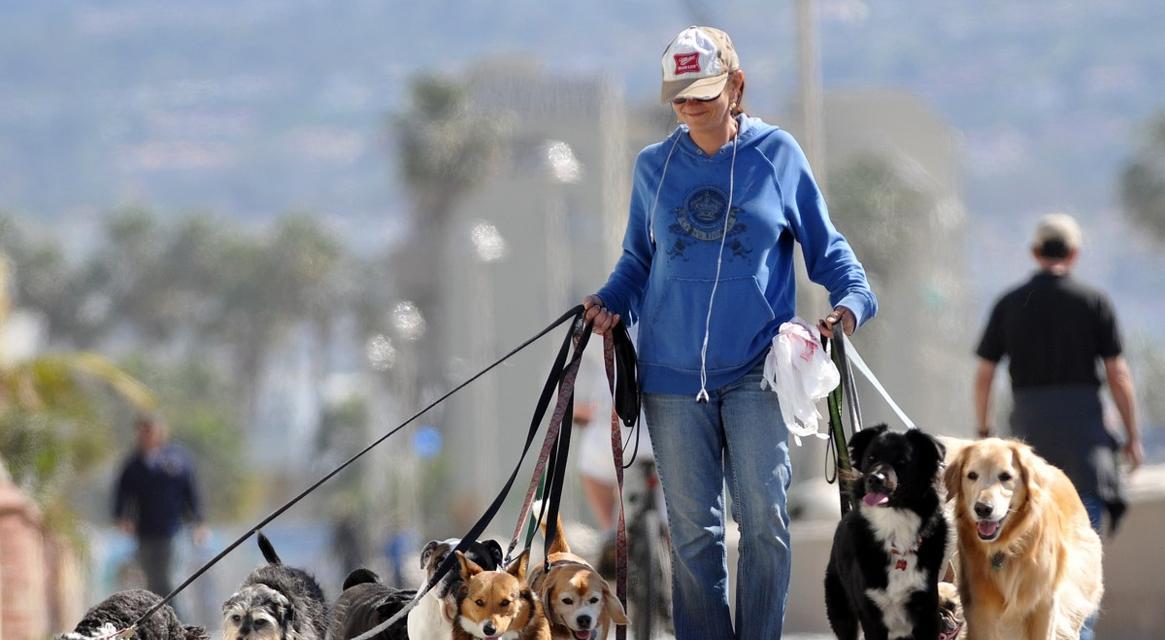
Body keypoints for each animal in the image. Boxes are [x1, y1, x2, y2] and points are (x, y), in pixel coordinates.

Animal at [824, 424, 950, 638]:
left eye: (902, 461)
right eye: (871, 458)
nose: (875, 478)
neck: (894, 523)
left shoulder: (927, 610)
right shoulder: (870, 612)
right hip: (840, 606)